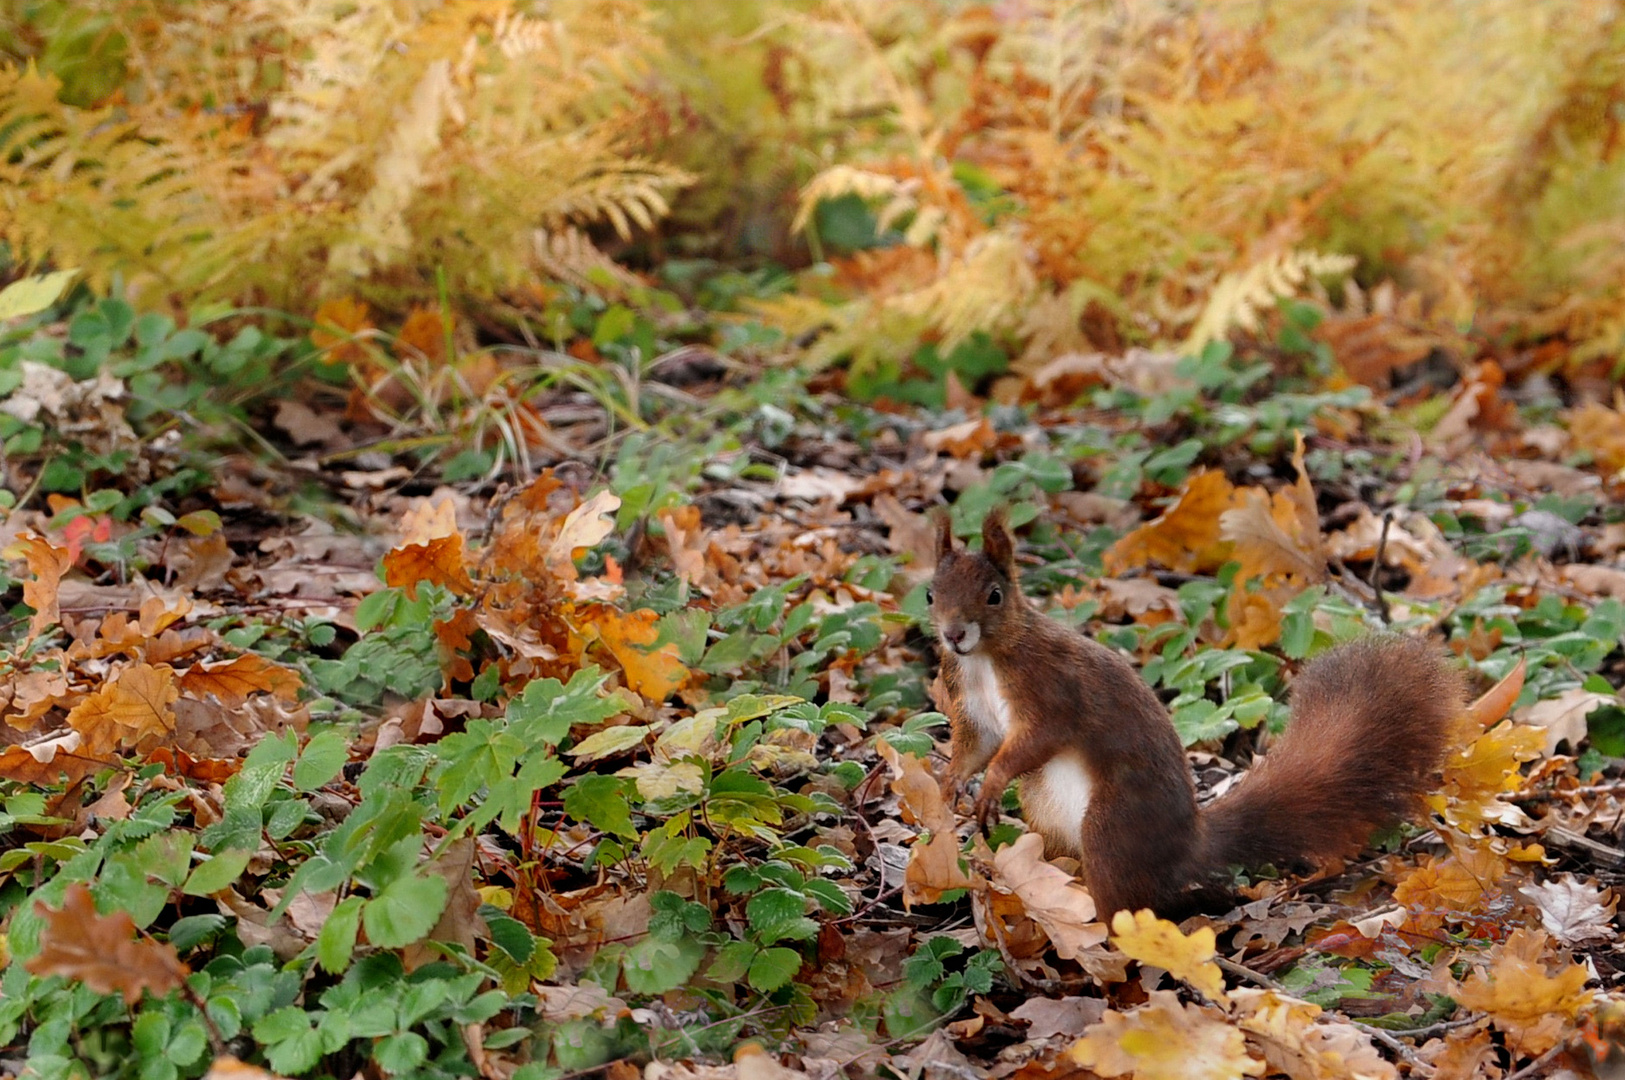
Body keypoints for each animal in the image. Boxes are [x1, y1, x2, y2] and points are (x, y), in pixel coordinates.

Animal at [929, 509, 1475, 915]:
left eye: (995, 596)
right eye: (931, 593)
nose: (953, 635)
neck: (984, 659)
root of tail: (1189, 844)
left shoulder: (1052, 689)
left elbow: (1037, 737)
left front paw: (992, 781)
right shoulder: (969, 700)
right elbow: (977, 744)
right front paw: (950, 782)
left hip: (1112, 824)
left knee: (1132, 903)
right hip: (1047, 814)